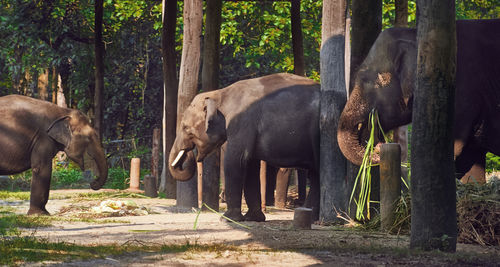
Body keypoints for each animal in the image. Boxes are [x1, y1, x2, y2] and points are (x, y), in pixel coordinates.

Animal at [169, 73, 320, 222]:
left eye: (185, 127)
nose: (189, 153)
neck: (220, 93)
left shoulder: (240, 123)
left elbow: (235, 161)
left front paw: (227, 219)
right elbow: (251, 166)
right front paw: (253, 218)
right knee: (316, 175)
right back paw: (311, 217)